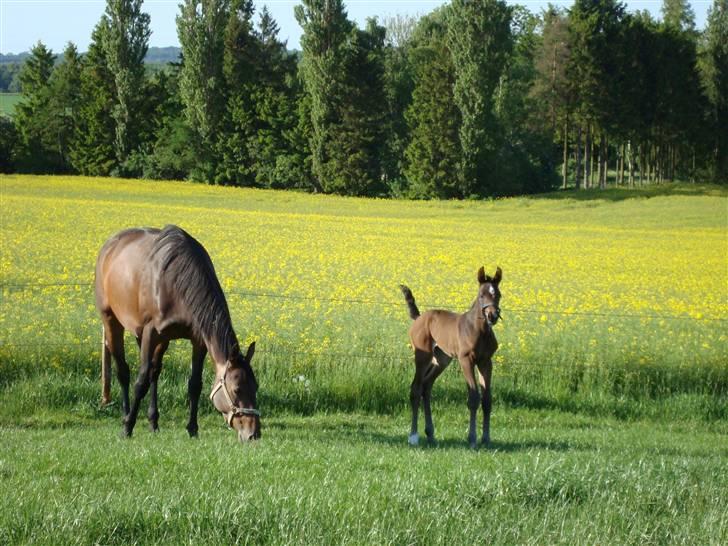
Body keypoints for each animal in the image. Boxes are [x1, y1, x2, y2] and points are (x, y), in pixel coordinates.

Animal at [92, 223, 260, 440]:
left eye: (255, 387)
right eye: (237, 389)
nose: (253, 433)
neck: (176, 283)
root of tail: (110, 245)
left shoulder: (197, 340)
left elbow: (194, 384)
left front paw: (193, 428)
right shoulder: (150, 333)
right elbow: (140, 382)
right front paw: (128, 426)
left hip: (156, 339)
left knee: (154, 372)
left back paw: (153, 422)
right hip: (112, 321)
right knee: (124, 372)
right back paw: (126, 415)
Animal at [400, 264, 504, 446]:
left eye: (498, 295)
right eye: (481, 295)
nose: (492, 316)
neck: (479, 330)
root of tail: (418, 318)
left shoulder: (486, 362)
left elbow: (487, 399)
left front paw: (486, 439)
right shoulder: (466, 360)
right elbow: (474, 397)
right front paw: (472, 439)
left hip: (442, 360)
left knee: (426, 386)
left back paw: (430, 433)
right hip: (423, 357)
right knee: (416, 388)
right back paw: (413, 436)